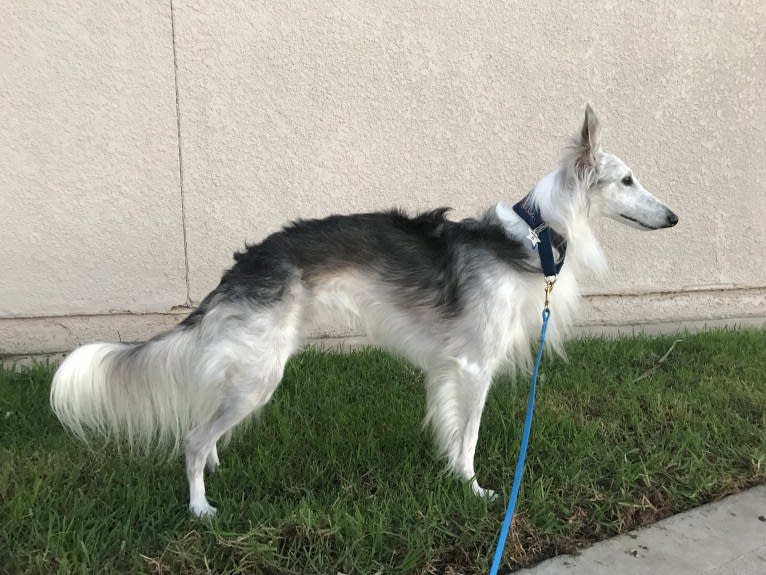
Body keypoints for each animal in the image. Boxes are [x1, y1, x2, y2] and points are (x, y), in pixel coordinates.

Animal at [51, 104, 680, 516]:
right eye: (627, 180)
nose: (675, 218)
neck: (532, 236)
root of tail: (246, 265)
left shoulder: (449, 369)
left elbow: (453, 432)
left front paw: (453, 479)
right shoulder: (475, 366)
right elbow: (470, 437)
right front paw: (474, 490)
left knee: (206, 435)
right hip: (260, 374)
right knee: (191, 439)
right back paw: (200, 509)